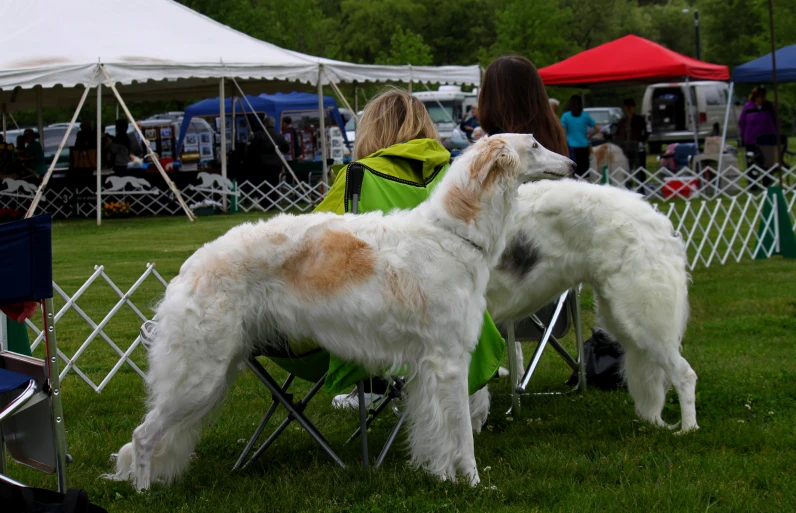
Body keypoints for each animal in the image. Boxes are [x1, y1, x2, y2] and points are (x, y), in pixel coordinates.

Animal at [109, 133, 576, 488]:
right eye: (535, 144)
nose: (572, 163)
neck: (451, 234)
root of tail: (189, 268)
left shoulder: (429, 368)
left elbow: (439, 434)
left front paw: (442, 477)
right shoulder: (448, 361)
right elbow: (462, 435)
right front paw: (474, 484)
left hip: (216, 370)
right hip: (199, 375)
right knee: (143, 435)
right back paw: (143, 490)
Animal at [472, 179, 696, 432]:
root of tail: (659, 222)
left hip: (644, 319)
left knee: (685, 374)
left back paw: (688, 429)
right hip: (620, 317)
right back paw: (652, 421)